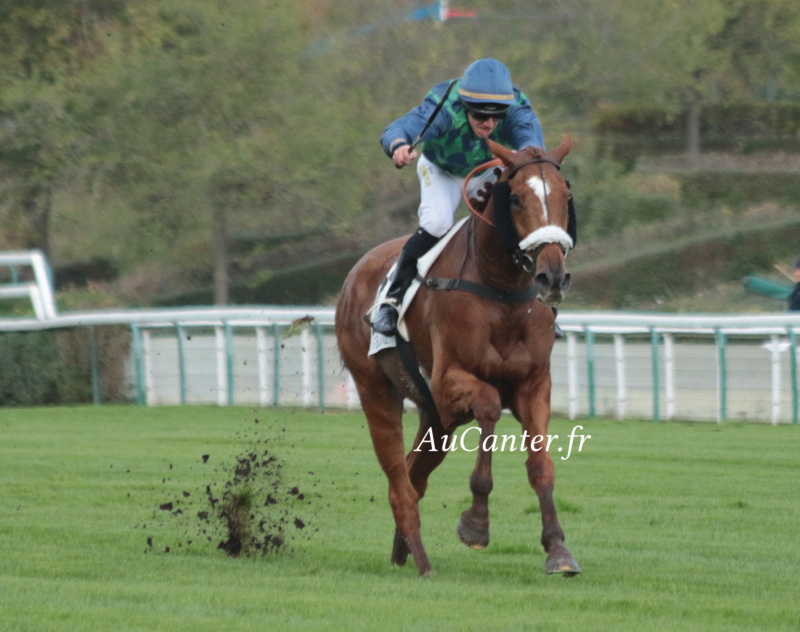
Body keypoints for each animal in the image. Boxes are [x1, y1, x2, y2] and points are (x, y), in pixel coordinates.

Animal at [334, 138, 580, 576]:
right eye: (515, 199)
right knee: (399, 485)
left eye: (565, 197)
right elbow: (489, 406)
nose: (552, 276)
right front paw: (476, 524)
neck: (501, 289)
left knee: (413, 477)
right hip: (376, 390)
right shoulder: (449, 383)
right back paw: (423, 563)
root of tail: (353, 275)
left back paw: (402, 553)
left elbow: (540, 465)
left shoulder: (534, 384)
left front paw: (558, 550)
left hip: (435, 419)